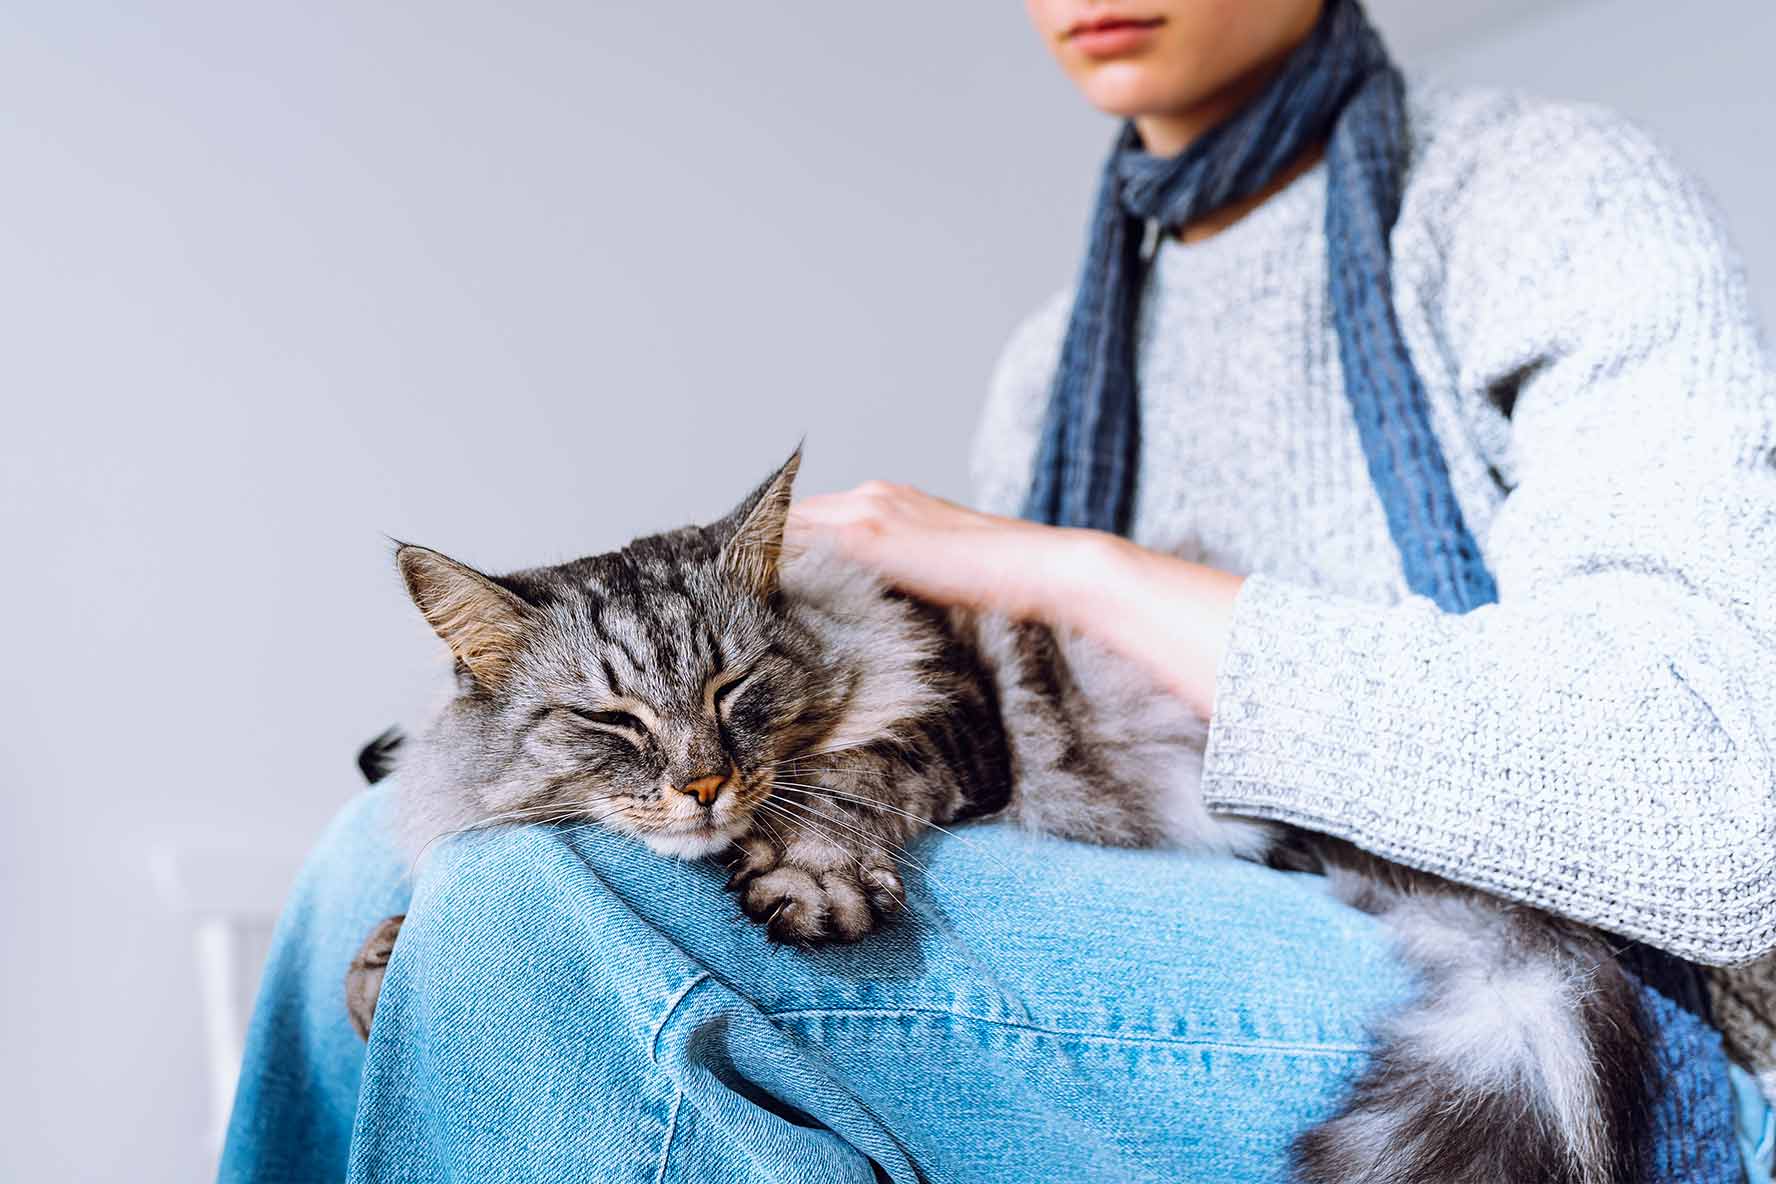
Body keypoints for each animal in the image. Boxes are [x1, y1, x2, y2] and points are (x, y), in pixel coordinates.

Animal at [353, 449, 1655, 1184]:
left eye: (731, 689)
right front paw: (377, 957)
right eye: (613, 717)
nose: (704, 783)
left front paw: (810, 874)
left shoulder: (951, 708)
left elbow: (848, 777)